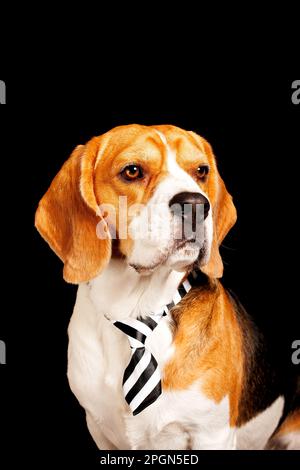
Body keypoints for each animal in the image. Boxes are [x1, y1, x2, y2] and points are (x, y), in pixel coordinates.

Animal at [35, 124, 300, 448]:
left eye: (201, 171)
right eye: (132, 171)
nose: (196, 205)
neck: (136, 310)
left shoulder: (212, 434)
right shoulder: (98, 429)